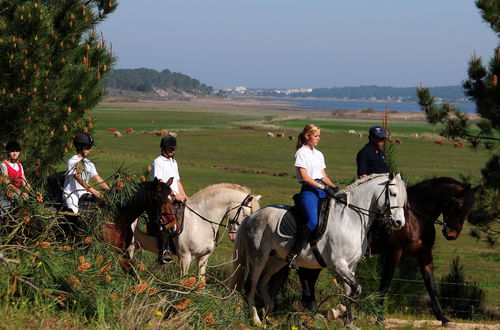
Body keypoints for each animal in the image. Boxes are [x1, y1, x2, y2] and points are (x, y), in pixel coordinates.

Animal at [123, 183, 262, 282]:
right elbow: (182, 282)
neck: (200, 222)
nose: (235, 236)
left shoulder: (204, 258)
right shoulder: (185, 257)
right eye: (245, 214)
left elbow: (201, 282)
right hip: (129, 245)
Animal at [230, 173, 406, 324]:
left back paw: (268, 312)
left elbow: (350, 292)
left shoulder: (351, 265)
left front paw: (349, 322)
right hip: (258, 257)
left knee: (262, 282)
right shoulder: (338, 264)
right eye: (393, 193)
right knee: (251, 285)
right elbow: (355, 289)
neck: (351, 218)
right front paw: (337, 312)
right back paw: (256, 320)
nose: (399, 223)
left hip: (276, 260)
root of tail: (251, 217)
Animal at [272, 178, 478, 324]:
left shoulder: (425, 255)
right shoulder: (394, 253)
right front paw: (379, 316)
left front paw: (443, 317)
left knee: (307, 282)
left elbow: (431, 285)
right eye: (459, 205)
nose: (451, 234)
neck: (415, 218)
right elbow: (385, 284)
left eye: (470, 208)